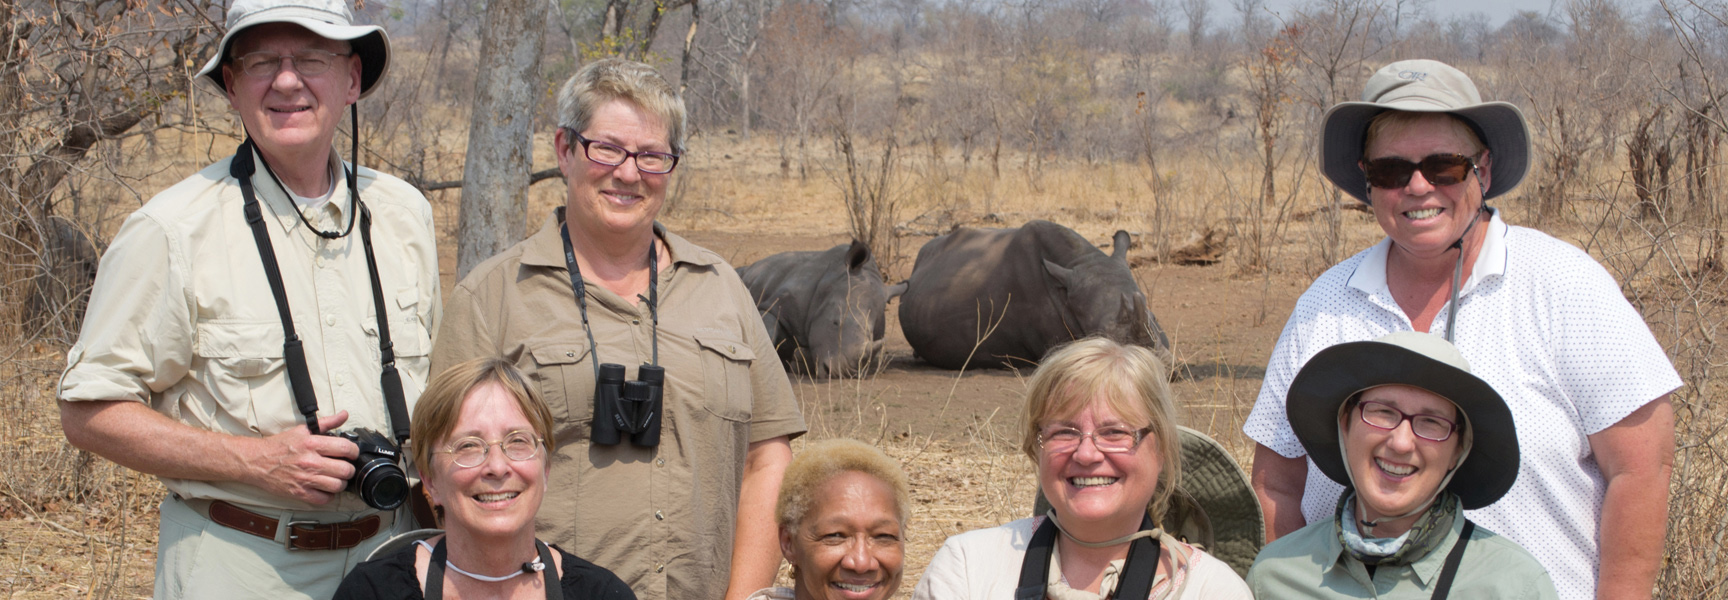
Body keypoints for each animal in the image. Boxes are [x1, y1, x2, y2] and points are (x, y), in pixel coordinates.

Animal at [739, 240, 907, 378]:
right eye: (835, 322)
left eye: (872, 334)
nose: (841, 373)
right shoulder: (773, 305)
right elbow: (767, 330)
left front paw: (798, 358)